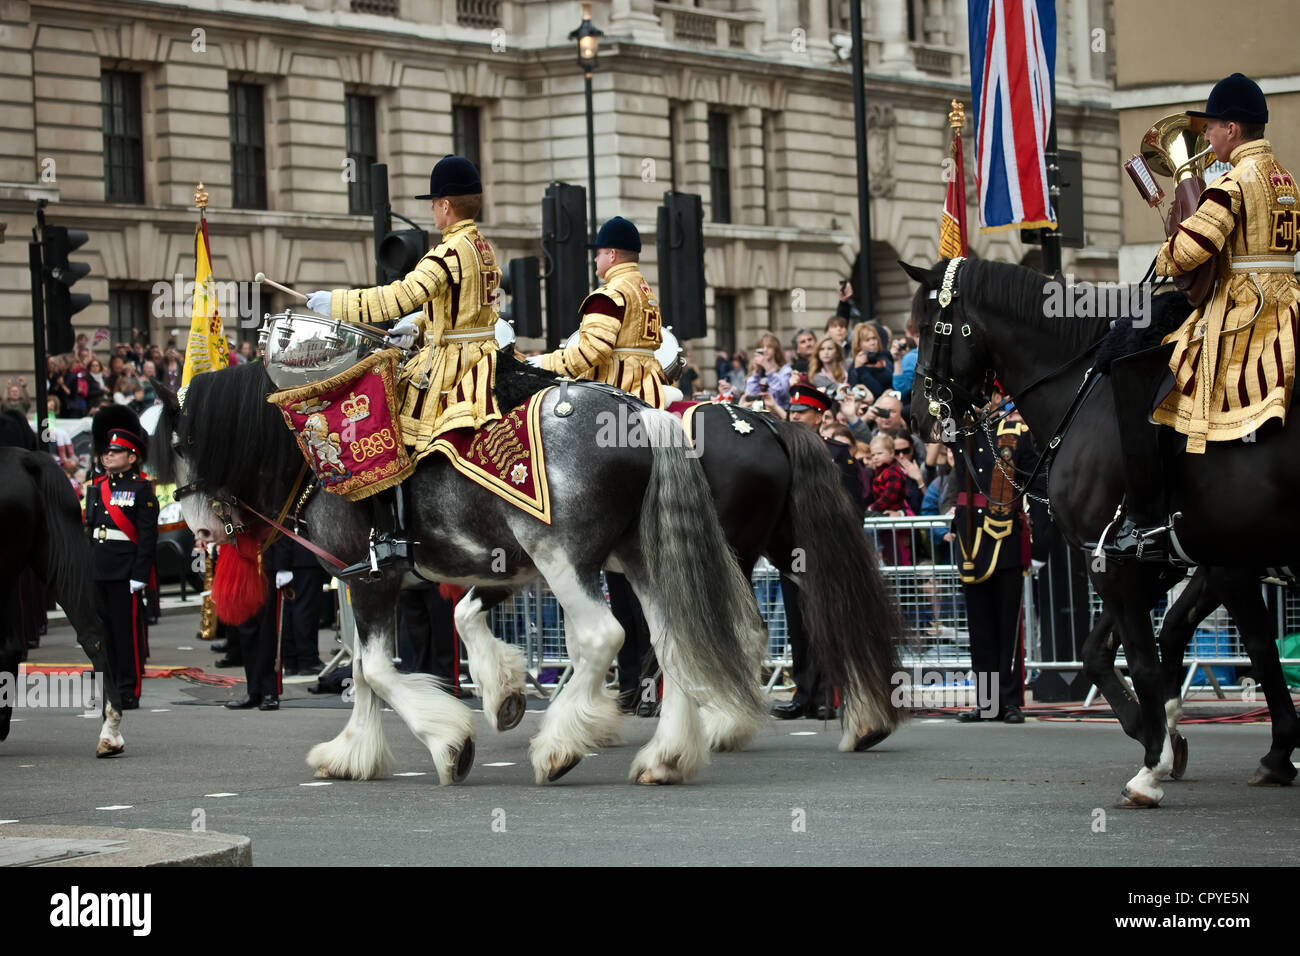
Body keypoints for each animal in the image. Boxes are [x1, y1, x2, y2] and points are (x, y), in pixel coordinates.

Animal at [904, 257, 1300, 806]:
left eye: (926, 327)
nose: (917, 416)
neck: (1083, 394)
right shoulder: (1152, 559)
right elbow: (1107, 650)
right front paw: (1162, 729)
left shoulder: (1131, 560)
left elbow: (1190, 653)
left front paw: (1154, 757)